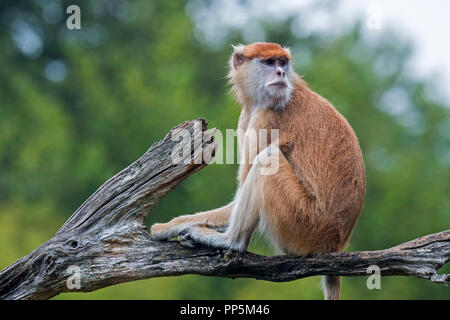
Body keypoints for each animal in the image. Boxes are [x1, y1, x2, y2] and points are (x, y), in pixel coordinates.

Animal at [152, 42, 366, 300]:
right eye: (270, 62)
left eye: (282, 62)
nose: (281, 73)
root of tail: (334, 243)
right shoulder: (248, 117)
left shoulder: (265, 119)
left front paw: (168, 226)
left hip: (303, 223)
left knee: (267, 159)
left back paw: (230, 241)